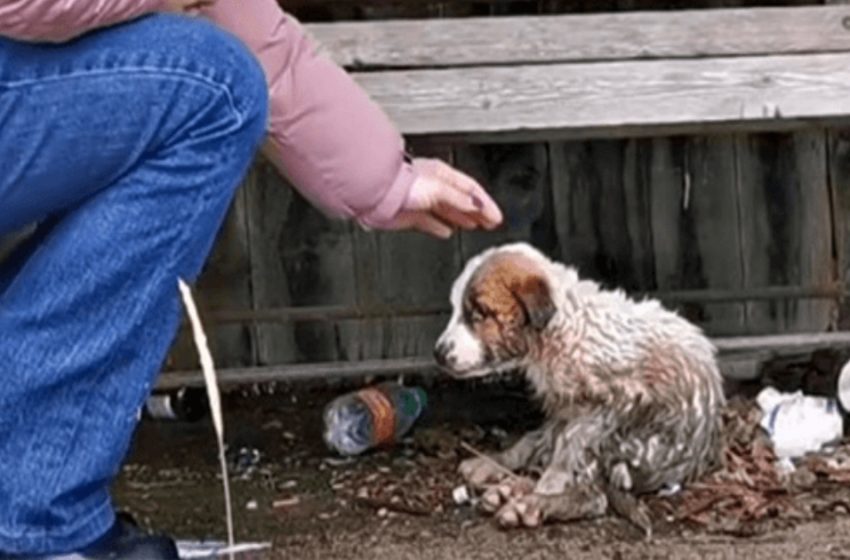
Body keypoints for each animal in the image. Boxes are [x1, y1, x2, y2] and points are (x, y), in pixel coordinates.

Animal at [434, 244, 724, 532]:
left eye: (478, 315)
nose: (437, 354)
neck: (557, 330)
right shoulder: (564, 407)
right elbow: (539, 440)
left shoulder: (621, 399)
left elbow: (571, 442)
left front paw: (547, 485)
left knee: (593, 495)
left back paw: (529, 504)